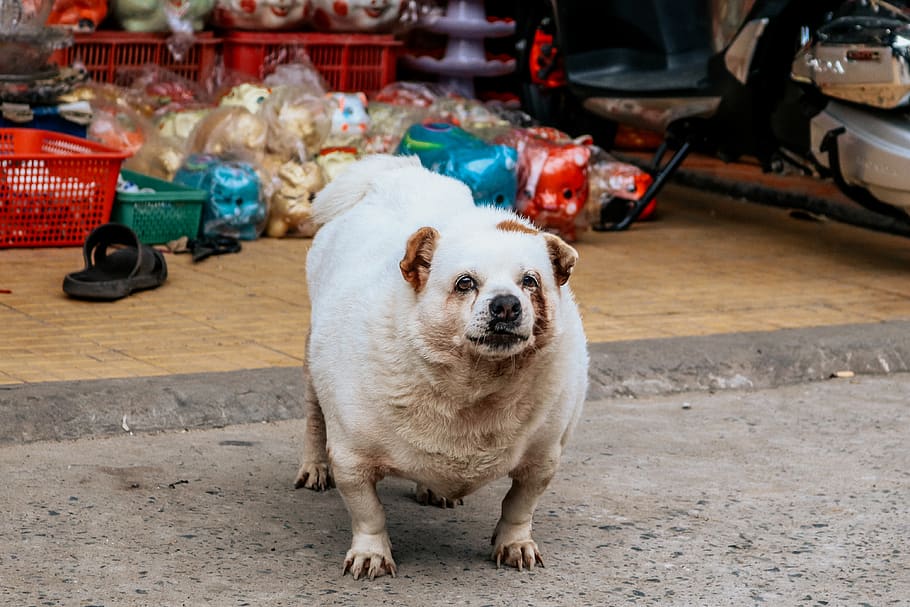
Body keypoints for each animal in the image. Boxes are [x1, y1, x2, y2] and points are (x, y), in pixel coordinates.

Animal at [296, 156, 588, 580]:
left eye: (530, 281)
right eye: (465, 282)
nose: (506, 304)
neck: (475, 387)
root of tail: (391, 172)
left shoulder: (544, 457)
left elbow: (519, 505)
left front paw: (514, 544)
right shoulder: (352, 458)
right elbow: (369, 513)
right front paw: (371, 554)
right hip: (312, 369)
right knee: (314, 418)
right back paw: (314, 467)